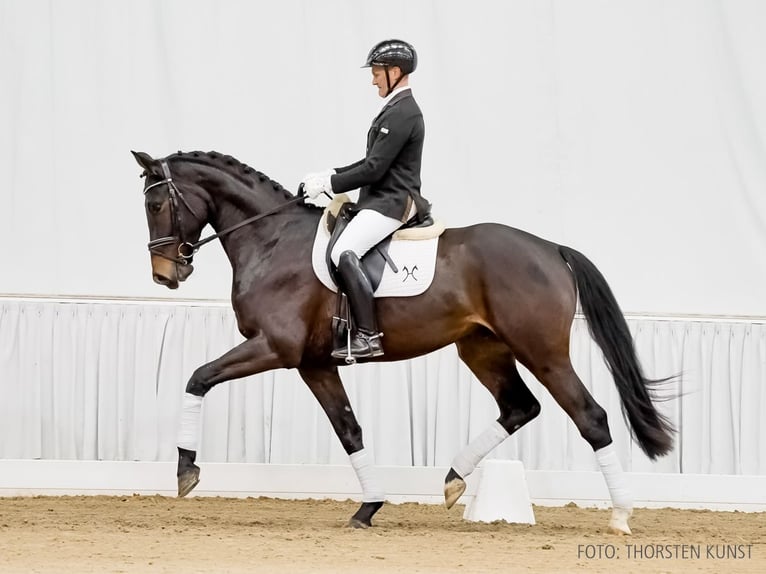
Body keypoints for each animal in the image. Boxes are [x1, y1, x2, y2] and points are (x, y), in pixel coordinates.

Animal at [135, 150, 676, 536]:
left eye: (156, 205)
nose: (165, 275)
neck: (272, 240)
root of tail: (550, 248)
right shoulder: (314, 363)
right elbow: (349, 430)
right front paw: (368, 508)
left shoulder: (275, 348)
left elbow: (198, 378)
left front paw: (186, 470)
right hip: (482, 348)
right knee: (520, 407)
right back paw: (454, 480)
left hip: (542, 351)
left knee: (590, 416)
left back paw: (621, 516)